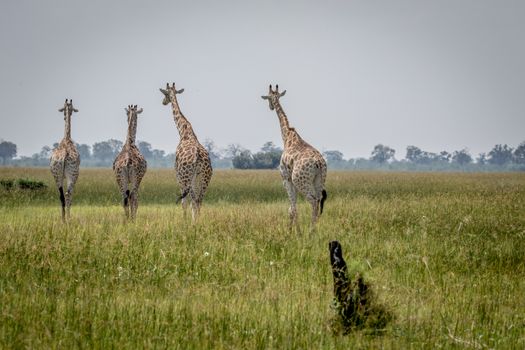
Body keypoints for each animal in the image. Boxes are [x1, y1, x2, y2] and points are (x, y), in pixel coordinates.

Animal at [159, 82, 212, 221]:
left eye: (165, 94)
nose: (163, 102)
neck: (184, 132)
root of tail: (198, 157)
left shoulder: (178, 176)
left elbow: (184, 202)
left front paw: (184, 220)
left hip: (187, 178)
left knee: (193, 200)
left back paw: (194, 222)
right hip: (204, 178)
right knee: (199, 200)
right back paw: (198, 221)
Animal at [260, 85, 326, 232]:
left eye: (268, 97)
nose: (270, 107)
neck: (287, 137)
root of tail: (319, 163)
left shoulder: (286, 179)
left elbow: (292, 209)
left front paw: (294, 232)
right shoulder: (291, 180)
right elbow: (292, 208)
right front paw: (292, 230)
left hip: (301, 181)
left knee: (313, 201)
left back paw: (310, 231)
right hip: (319, 180)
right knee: (319, 201)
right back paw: (315, 229)